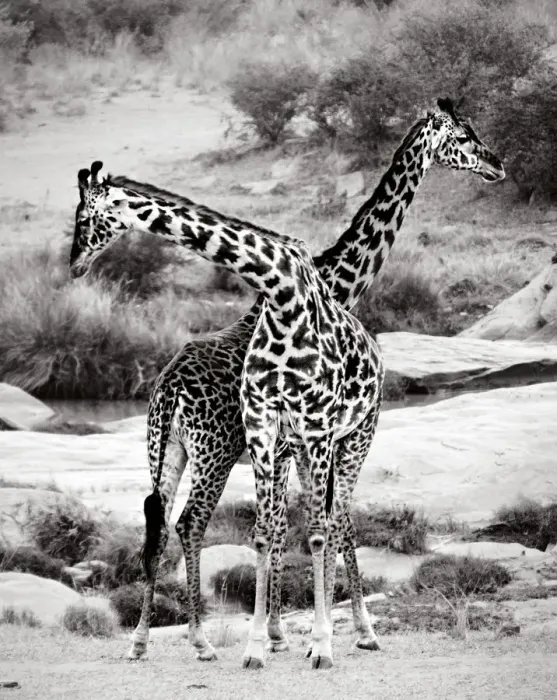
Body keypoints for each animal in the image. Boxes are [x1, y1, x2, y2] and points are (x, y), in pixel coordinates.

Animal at [68, 98, 505, 665]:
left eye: (84, 217)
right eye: (466, 136)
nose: (497, 163)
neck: (336, 282)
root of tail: (167, 393)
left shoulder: (290, 439)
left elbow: (282, 527)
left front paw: (280, 633)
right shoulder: (306, 437)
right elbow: (315, 525)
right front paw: (335, 631)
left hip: (165, 450)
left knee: (158, 524)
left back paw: (143, 640)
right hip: (216, 452)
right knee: (193, 523)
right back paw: (201, 640)